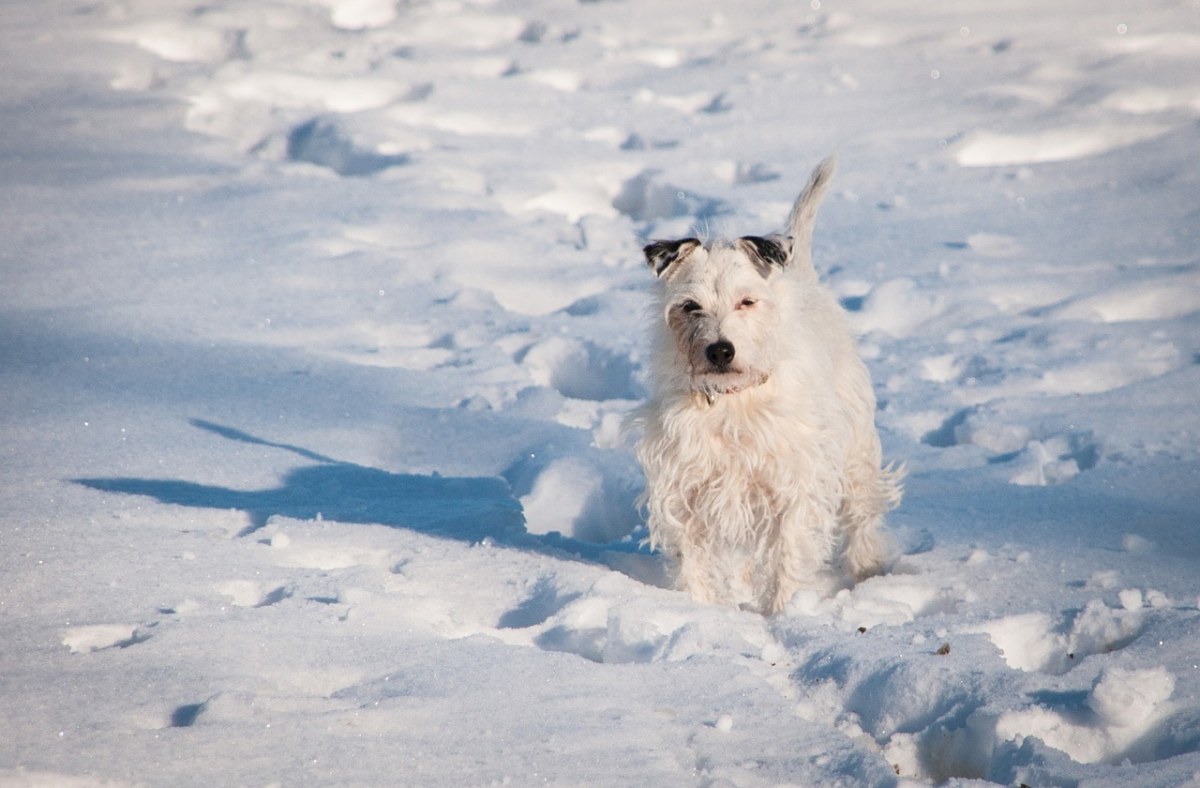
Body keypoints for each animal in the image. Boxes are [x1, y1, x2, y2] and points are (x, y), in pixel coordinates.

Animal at [628, 158, 902, 614]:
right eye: (690, 306)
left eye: (747, 301)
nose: (720, 350)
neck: (733, 401)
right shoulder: (686, 488)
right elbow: (693, 559)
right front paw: (701, 611)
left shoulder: (793, 485)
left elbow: (787, 553)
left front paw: (785, 612)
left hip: (856, 452)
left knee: (862, 516)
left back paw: (870, 571)